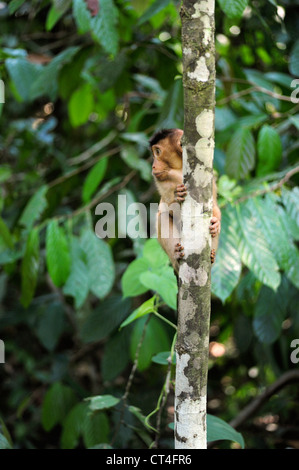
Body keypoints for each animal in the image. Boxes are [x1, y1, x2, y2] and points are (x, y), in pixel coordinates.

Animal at [149, 129, 221, 276]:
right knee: (163, 217)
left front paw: (216, 225)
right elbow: (170, 209)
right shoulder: (164, 179)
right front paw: (177, 195)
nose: (153, 165)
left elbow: (214, 207)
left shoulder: (210, 177)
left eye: (157, 152)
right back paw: (177, 256)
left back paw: (211, 257)